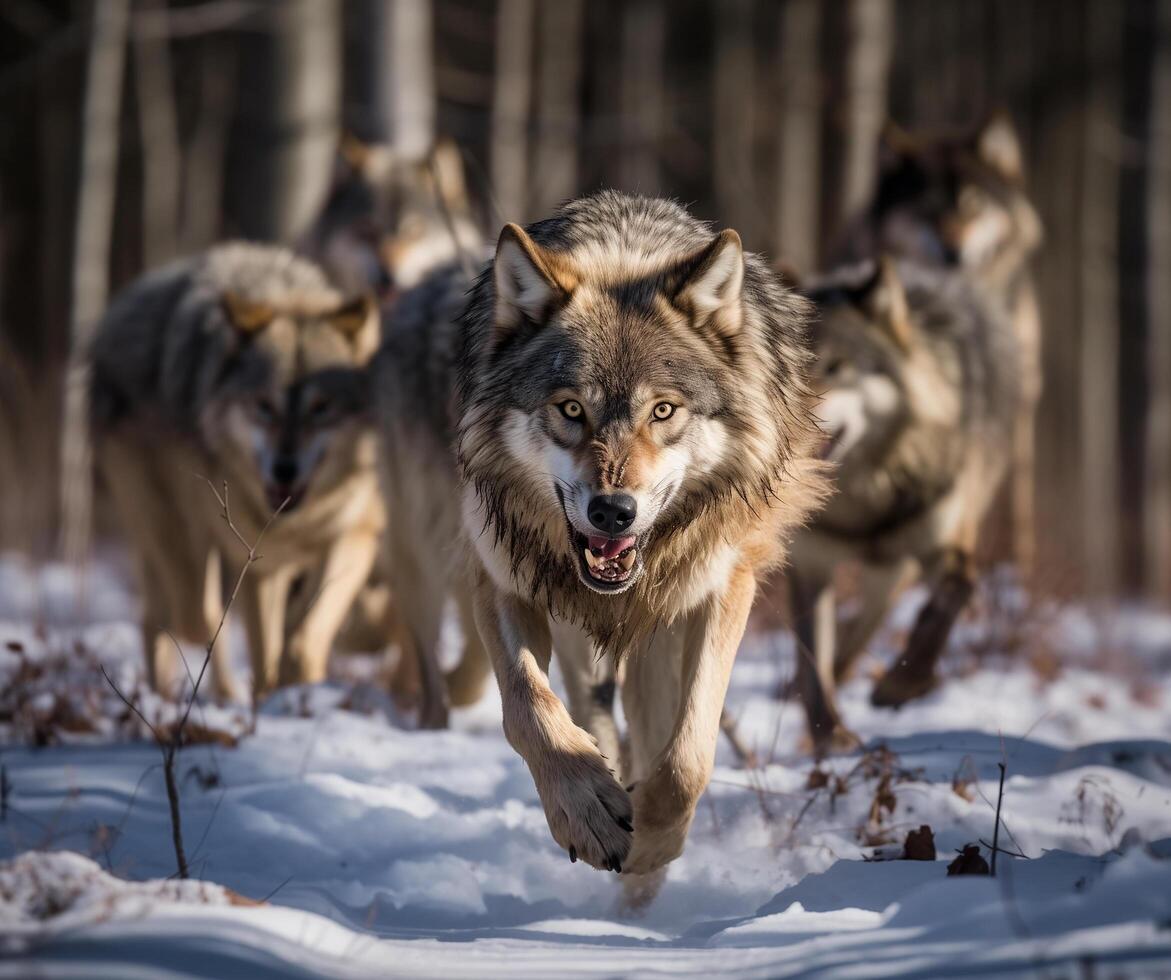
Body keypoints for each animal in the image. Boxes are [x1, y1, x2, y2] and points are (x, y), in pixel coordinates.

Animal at [93, 244, 384, 702]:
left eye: (322, 408)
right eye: (263, 405)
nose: (284, 468)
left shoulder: (350, 537)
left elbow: (302, 634)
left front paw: (297, 684)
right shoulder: (254, 563)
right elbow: (258, 645)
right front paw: (269, 697)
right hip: (169, 532)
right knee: (179, 615)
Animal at [379, 189, 829, 871]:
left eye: (662, 410)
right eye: (571, 409)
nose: (613, 512)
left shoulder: (723, 586)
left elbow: (688, 754)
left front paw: (652, 842)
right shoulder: (503, 578)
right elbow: (530, 710)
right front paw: (588, 809)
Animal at [791, 254, 1021, 749]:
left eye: (837, 367)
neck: (865, 497)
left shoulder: (944, 547)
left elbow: (951, 600)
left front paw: (902, 684)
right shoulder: (810, 563)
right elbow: (813, 660)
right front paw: (829, 738)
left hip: (898, 565)